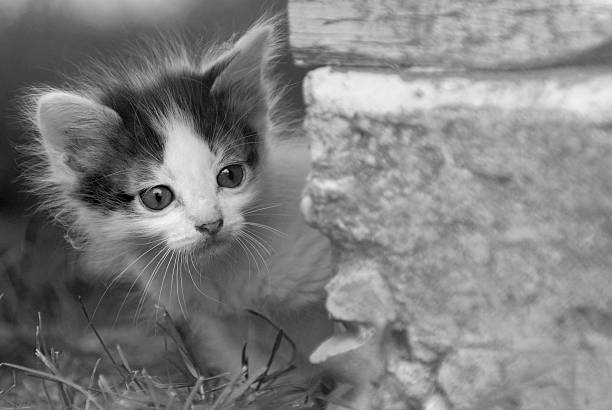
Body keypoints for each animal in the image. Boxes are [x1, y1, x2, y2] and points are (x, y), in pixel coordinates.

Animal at [22, 16, 334, 384]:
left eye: (231, 176)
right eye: (158, 197)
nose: (211, 224)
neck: (223, 270)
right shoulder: (224, 325)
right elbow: (259, 372)